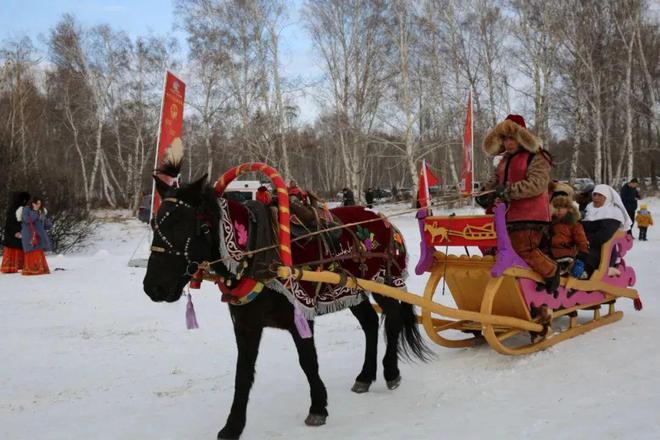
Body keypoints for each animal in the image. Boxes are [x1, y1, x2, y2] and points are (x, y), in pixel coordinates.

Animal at [143, 167, 428, 438]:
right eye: (155, 225)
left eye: (189, 226)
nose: (153, 287)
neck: (259, 253)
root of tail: (382, 218)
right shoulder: (246, 325)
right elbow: (243, 373)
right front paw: (233, 426)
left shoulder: (301, 314)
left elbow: (308, 361)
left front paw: (318, 408)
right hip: (352, 290)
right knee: (370, 323)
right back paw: (365, 376)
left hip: (384, 283)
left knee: (392, 320)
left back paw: (391, 372)